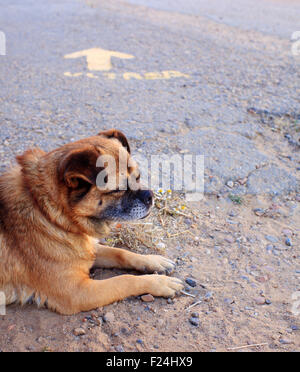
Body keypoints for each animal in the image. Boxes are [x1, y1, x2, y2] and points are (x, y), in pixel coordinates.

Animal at [0, 130, 183, 314]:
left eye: (137, 177)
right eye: (117, 190)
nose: (150, 196)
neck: (50, 213)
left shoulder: (87, 250)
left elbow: (121, 253)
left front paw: (153, 261)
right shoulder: (77, 292)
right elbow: (124, 279)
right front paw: (158, 282)